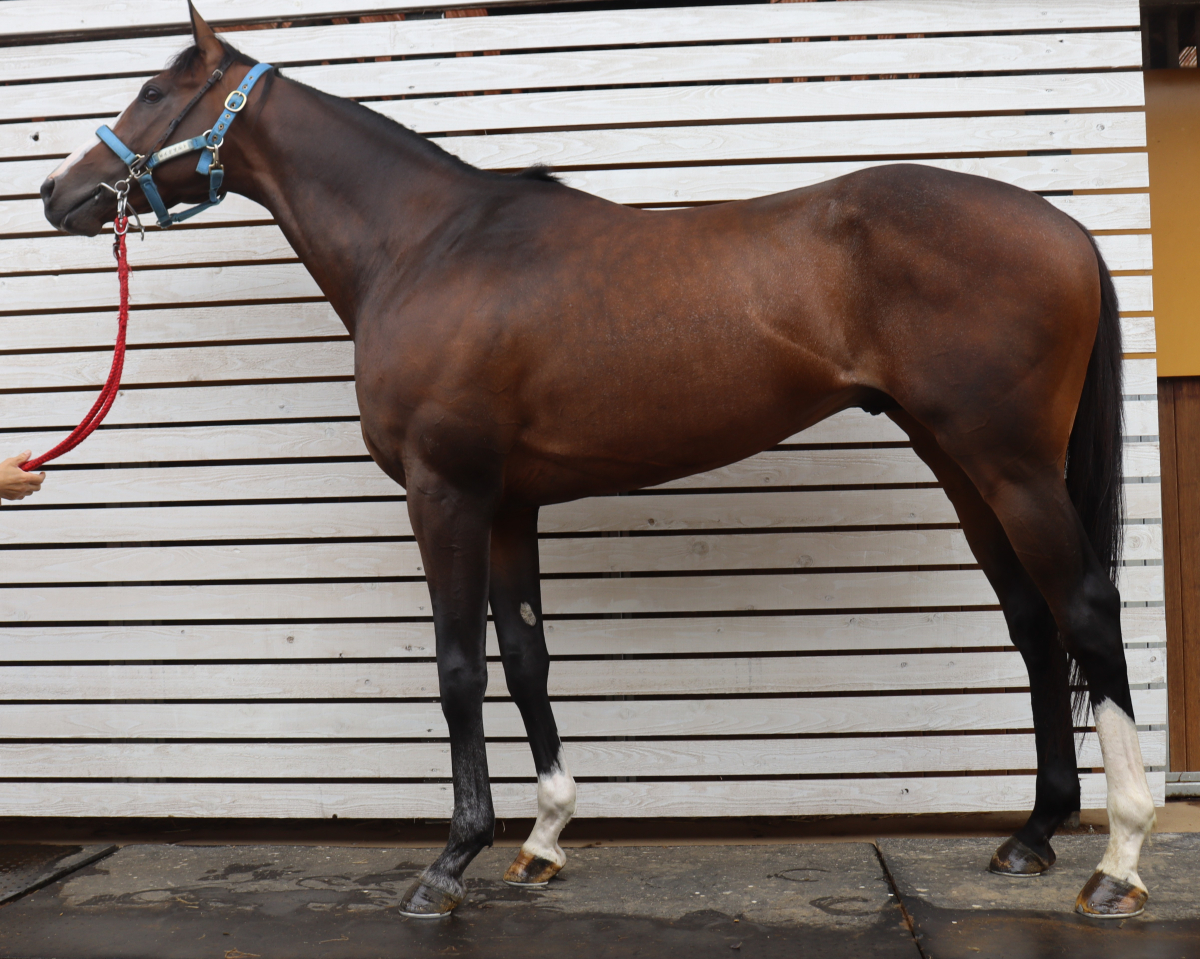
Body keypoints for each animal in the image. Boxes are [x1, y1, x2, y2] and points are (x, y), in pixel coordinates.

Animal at [41, 5, 1154, 920]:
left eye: (152, 92)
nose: (57, 193)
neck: (428, 245)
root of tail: (1062, 224)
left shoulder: (444, 494)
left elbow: (458, 665)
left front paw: (450, 860)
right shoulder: (506, 503)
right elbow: (526, 655)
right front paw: (541, 839)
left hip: (1009, 463)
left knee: (1086, 609)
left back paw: (1120, 860)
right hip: (963, 463)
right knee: (1034, 624)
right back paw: (1035, 834)